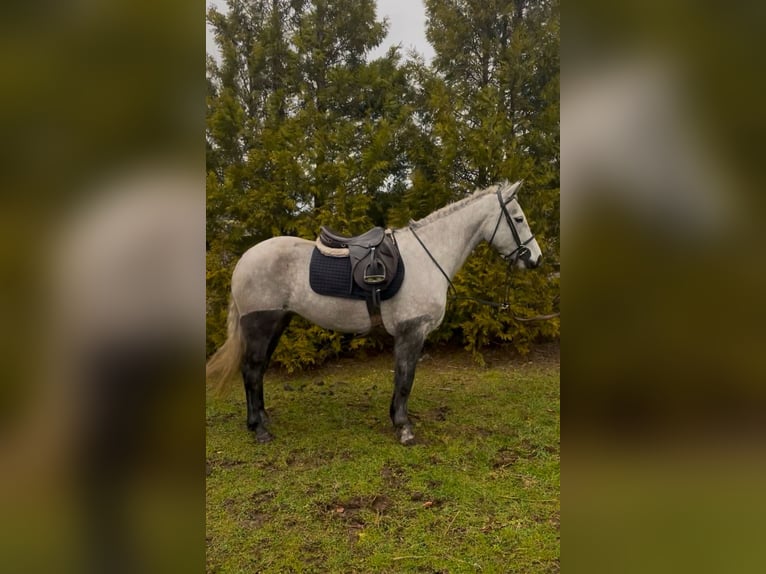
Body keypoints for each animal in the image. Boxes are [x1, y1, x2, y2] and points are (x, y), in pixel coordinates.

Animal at [207, 182, 544, 448]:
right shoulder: (412, 331)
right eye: (518, 218)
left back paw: (263, 418)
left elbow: (401, 378)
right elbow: (405, 378)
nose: (535, 259)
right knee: (251, 370)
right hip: (261, 324)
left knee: (259, 370)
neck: (428, 256)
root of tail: (244, 260)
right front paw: (404, 428)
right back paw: (259, 429)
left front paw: (398, 420)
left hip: (278, 322)